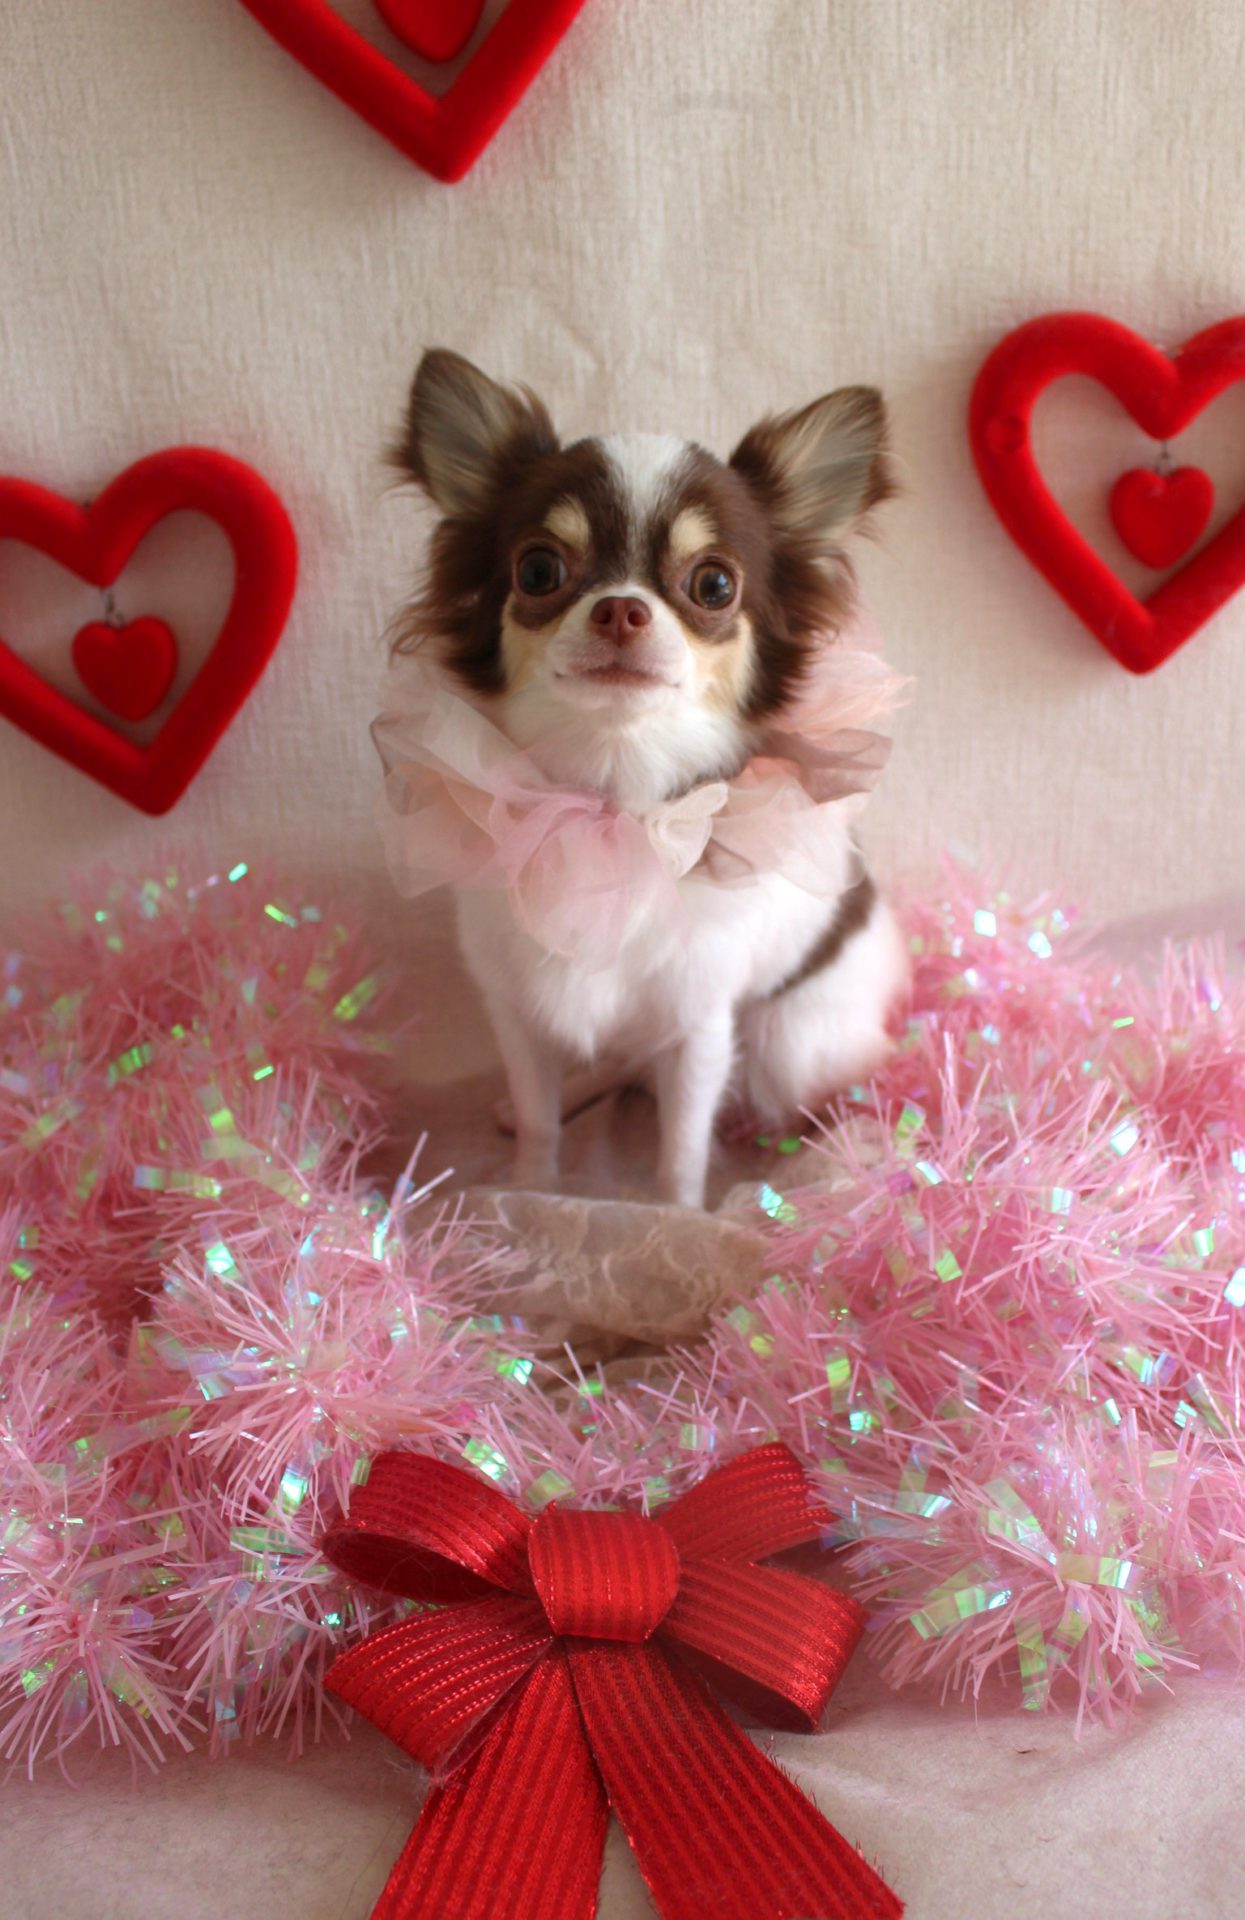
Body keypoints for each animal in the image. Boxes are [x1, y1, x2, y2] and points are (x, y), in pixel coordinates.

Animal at [381, 348, 909, 1209]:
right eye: (538, 570)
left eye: (713, 585)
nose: (621, 608)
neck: (610, 808)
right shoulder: (515, 1006)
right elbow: (539, 1118)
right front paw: (526, 1195)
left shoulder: (700, 1022)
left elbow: (680, 1145)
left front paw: (680, 1216)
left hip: (787, 1039)